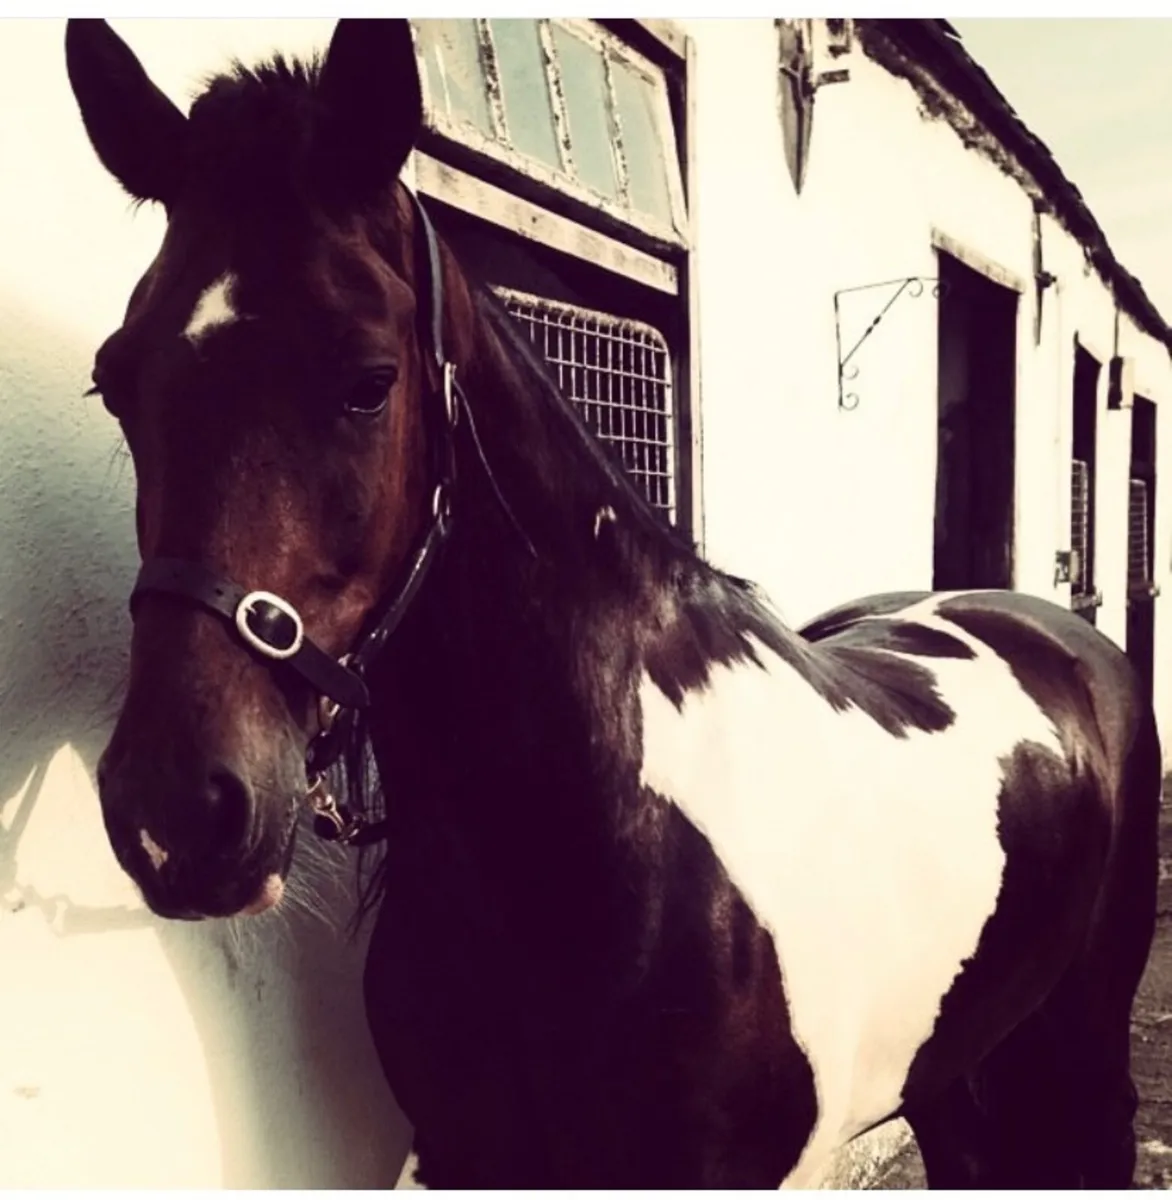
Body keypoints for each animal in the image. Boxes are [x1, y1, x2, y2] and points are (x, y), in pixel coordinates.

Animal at [65, 17, 1160, 1189]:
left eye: (368, 380)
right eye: (115, 382)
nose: (178, 813)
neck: (592, 846)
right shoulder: (471, 1157)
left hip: (1081, 1038)